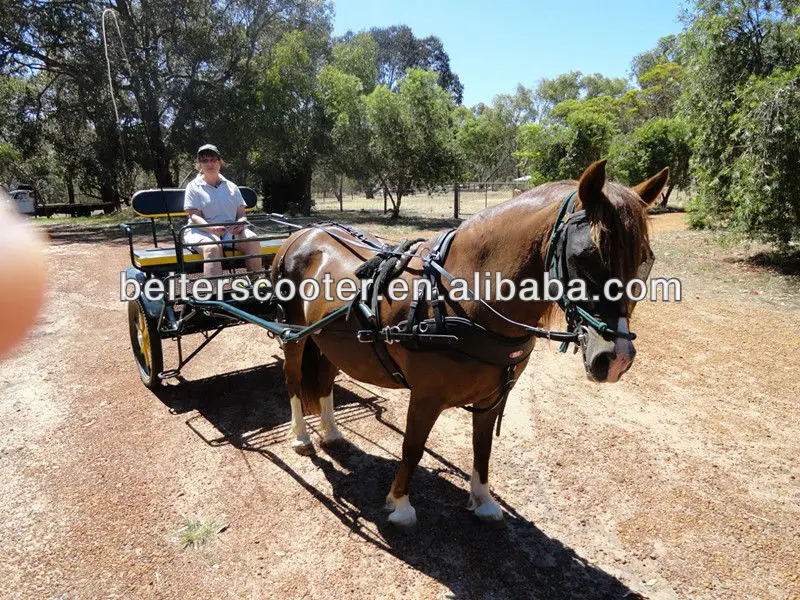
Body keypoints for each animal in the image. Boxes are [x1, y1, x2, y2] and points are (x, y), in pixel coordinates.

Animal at [270, 160, 668, 527]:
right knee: (293, 380)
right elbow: (412, 447)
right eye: (586, 256)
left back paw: (332, 432)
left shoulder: (493, 396)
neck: (460, 295)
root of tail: (302, 235)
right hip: (293, 334)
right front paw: (401, 504)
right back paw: (301, 437)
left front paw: (483, 501)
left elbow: (483, 447)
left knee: (324, 379)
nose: (616, 358)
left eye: (644, 259)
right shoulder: (426, 396)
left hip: (326, 339)